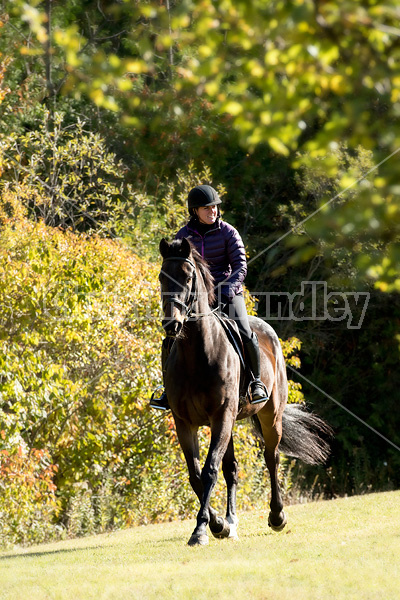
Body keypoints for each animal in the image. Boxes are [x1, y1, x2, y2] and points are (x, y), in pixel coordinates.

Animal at [159, 237, 332, 548]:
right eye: (161, 277)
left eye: (188, 277)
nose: (172, 324)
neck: (196, 354)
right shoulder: (185, 422)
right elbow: (196, 475)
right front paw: (216, 524)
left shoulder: (221, 416)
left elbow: (209, 470)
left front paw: (201, 529)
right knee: (232, 468)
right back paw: (230, 523)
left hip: (269, 416)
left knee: (271, 458)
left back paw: (277, 516)